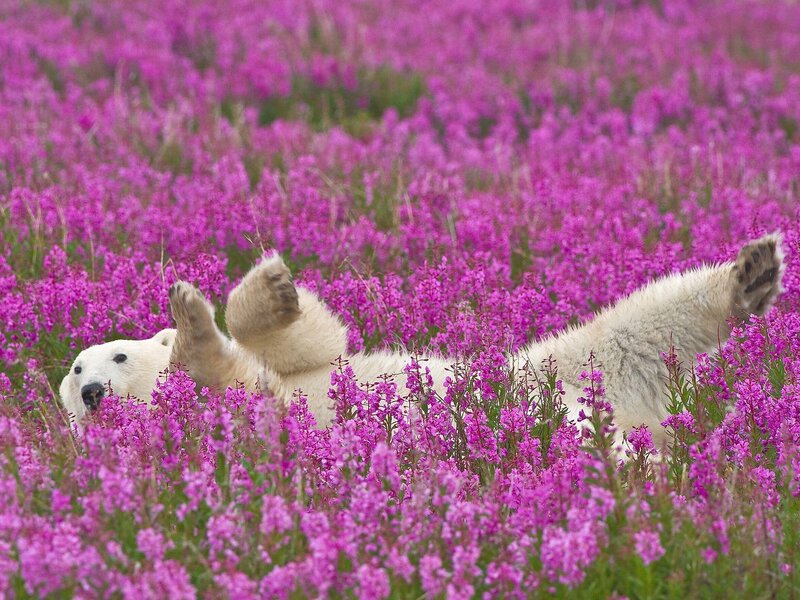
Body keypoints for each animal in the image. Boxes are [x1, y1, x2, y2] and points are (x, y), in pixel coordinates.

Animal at [60, 234, 785, 447]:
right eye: (74, 373)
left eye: (112, 354)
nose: (92, 391)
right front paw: (192, 325)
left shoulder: (299, 369)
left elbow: (315, 343)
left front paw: (260, 289)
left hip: (556, 367)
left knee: (641, 321)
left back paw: (752, 272)